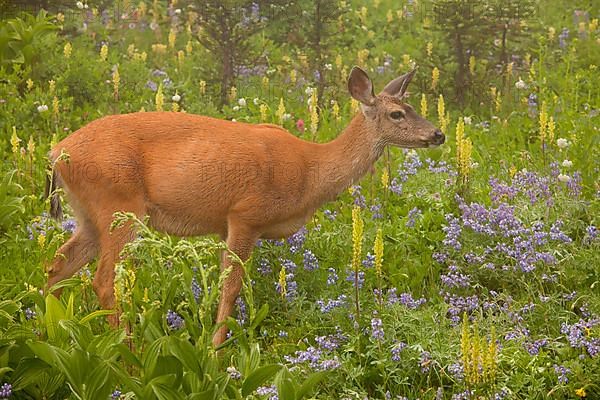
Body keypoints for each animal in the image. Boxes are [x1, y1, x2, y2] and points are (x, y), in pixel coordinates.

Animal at [44, 66, 442, 346]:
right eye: (397, 114)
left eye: (411, 107)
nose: (437, 134)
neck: (311, 172)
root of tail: (56, 153)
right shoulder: (245, 215)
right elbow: (232, 287)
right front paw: (215, 352)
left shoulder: (227, 225)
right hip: (119, 206)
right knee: (103, 280)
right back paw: (127, 353)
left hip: (90, 214)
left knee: (57, 264)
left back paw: (48, 332)